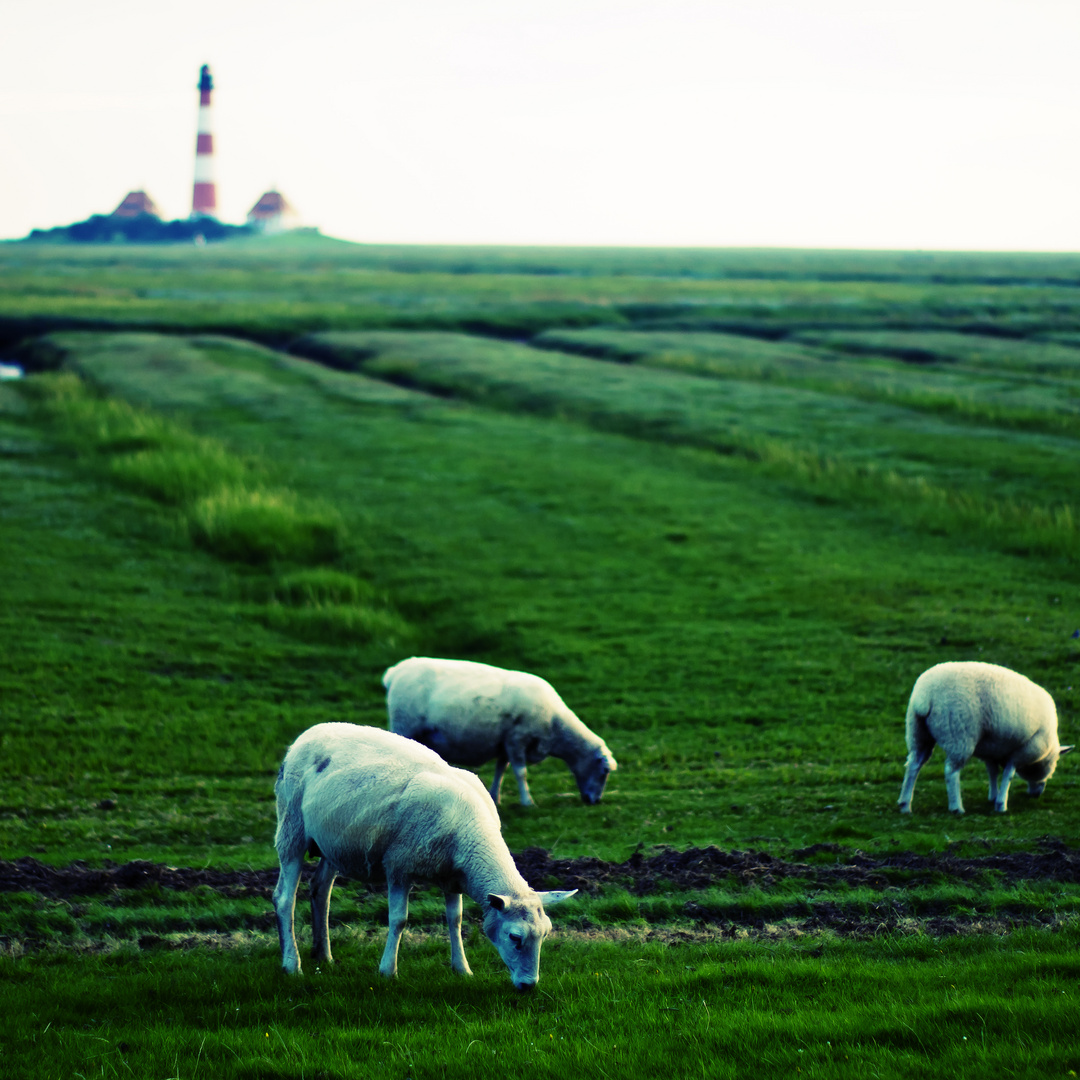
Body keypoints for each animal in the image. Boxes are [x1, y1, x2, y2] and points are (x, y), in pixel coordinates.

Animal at [272, 721, 574, 989]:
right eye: (514, 937)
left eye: (545, 934)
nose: (528, 985)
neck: (471, 831)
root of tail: (308, 734)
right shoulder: (398, 866)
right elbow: (399, 920)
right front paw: (388, 971)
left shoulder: (453, 876)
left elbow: (455, 919)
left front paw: (462, 969)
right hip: (292, 827)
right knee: (284, 897)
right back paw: (291, 964)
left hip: (332, 843)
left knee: (320, 891)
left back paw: (323, 955)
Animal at [384, 652, 617, 807]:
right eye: (604, 772)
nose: (595, 801)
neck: (556, 727)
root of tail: (396, 672)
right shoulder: (517, 738)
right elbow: (521, 772)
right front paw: (528, 802)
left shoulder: (505, 742)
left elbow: (501, 770)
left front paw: (495, 797)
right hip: (403, 724)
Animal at [894, 660, 1071, 812]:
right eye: (1053, 765)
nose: (1037, 794)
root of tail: (925, 697)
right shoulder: (1024, 750)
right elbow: (1008, 775)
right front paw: (1001, 804)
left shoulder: (991, 748)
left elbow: (992, 772)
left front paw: (993, 797)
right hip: (959, 735)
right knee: (951, 771)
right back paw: (956, 807)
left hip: (917, 731)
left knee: (914, 764)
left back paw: (905, 805)